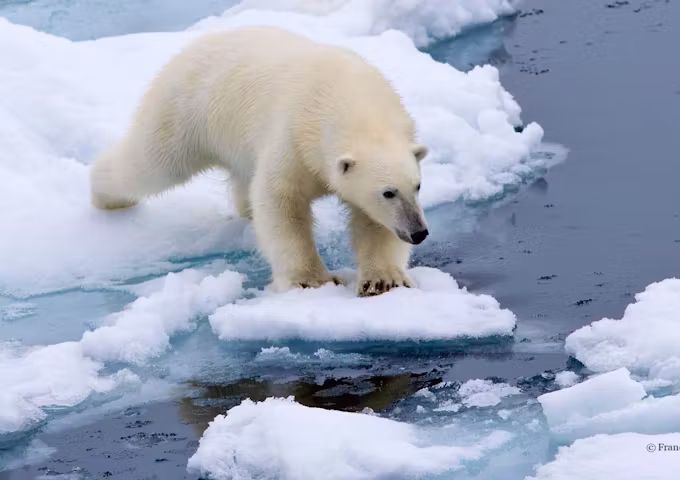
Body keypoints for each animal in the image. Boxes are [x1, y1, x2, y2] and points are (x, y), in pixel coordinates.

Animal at [90, 26, 430, 297]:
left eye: (417, 186)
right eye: (388, 192)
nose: (418, 232)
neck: (351, 101)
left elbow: (372, 222)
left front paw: (383, 281)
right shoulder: (293, 136)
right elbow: (281, 201)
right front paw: (311, 280)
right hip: (184, 110)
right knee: (151, 164)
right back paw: (105, 196)